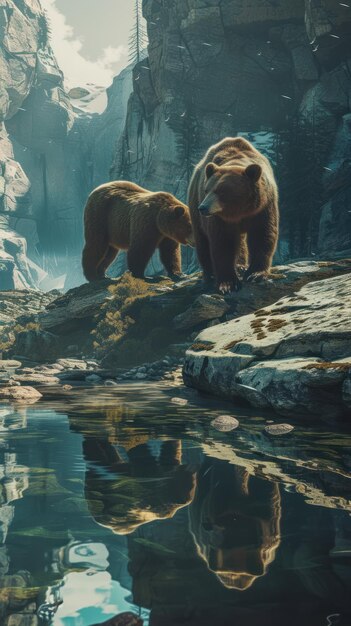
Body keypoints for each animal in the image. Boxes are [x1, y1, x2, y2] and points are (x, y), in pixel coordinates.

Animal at [190, 136, 280, 292]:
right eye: (207, 190)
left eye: (221, 191)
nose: (203, 207)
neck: (239, 211)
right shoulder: (220, 218)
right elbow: (222, 242)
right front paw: (228, 283)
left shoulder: (263, 208)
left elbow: (262, 235)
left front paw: (255, 274)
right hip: (194, 202)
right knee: (202, 241)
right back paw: (209, 275)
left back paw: (240, 266)